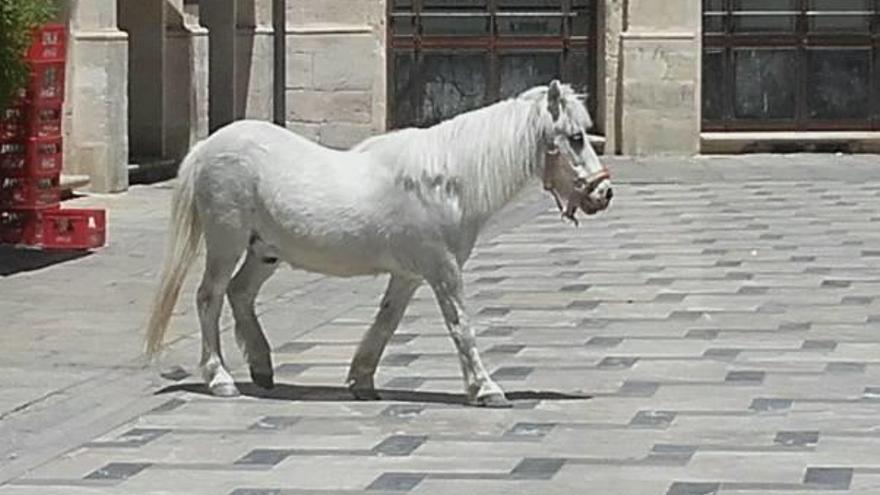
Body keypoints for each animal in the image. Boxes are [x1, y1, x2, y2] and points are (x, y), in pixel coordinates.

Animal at [146, 80, 612, 406]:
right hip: (226, 242)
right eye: (575, 138)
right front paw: (486, 389)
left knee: (240, 295)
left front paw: (362, 380)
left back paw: (262, 368)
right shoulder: (443, 269)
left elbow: (386, 322)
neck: (446, 180)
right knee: (210, 298)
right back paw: (221, 379)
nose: (604, 193)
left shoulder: (410, 275)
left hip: (265, 251)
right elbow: (461, 326)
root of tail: (206, 147)